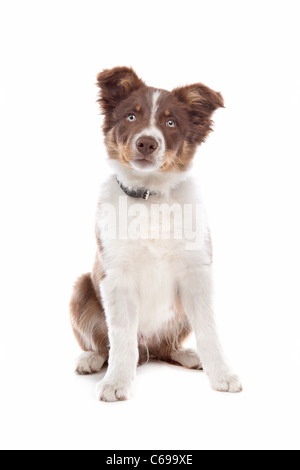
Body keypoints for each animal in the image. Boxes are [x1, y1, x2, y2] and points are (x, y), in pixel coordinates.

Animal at [69, 68, 241, 402]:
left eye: (170, 123)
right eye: (131, 116)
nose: (147, 143)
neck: (150, 197)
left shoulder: (197, 272)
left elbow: (209, 329)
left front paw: (222, 375)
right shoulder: (115, 277)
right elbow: (121, 337)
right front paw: (116, 382)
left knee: (165, 346)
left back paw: (187, 354)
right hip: (81, 287)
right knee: (105, 344)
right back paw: (91, 359)